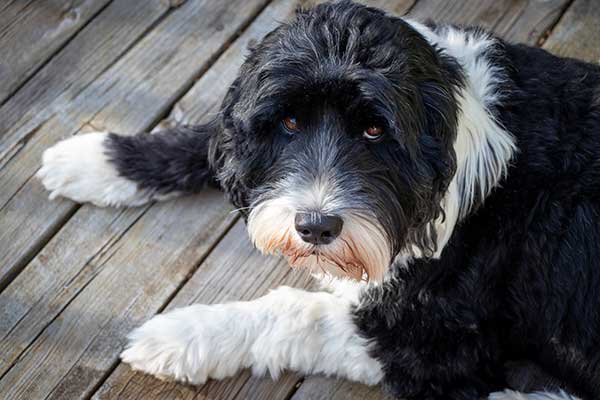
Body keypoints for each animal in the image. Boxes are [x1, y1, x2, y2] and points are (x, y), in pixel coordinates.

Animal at [35, 0, 596, 400]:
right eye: (289, 121)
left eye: (375, 130)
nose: (316, 226)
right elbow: (207, 138)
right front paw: (96, 159)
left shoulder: (438, 345)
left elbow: (296, 313)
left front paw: (181, 335)